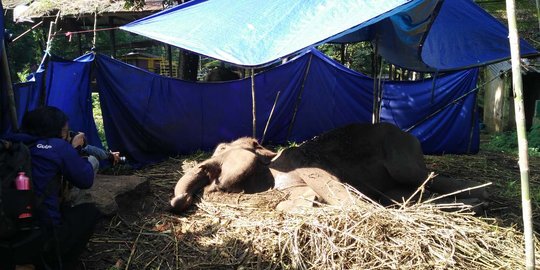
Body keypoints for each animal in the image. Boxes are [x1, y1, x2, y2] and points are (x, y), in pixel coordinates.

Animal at [171, 122, 488, 213]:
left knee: (424, 177)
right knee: (406, 192)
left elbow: (343, 197)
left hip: (401, 154)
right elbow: (292, 201)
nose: (178, 201)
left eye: (222, 150)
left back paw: (478, 199)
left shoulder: (305, 164)